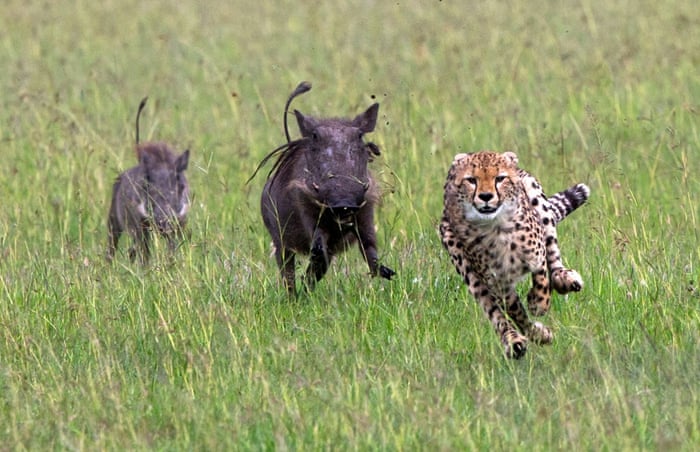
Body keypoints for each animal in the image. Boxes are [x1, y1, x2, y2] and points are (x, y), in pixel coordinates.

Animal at [439, 151, 590, 359]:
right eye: (471, 180)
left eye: (500, 178)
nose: (486, 196)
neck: (495, 227)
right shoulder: (497, 282)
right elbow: (514, 309)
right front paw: (535, 330)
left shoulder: (537, 252)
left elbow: (542, 276)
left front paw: (538, 303)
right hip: (459, 255)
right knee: (494, 310)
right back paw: (516, 340)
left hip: (535, 193)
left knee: (553, 252)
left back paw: (564, 278)